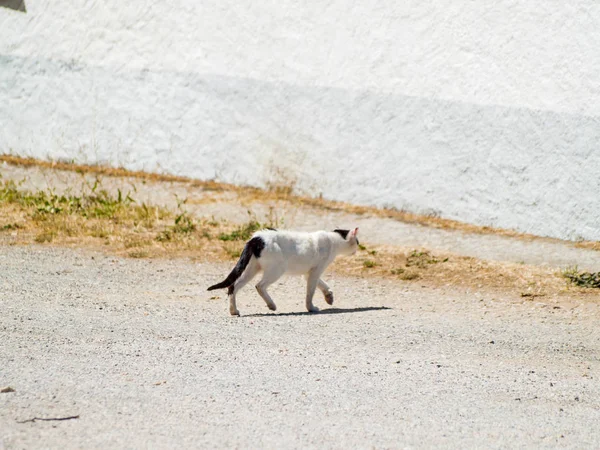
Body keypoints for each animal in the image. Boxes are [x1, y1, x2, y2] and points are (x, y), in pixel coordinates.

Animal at [209, 227, 358, 314]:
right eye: (357, 241)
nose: (357, 249)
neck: (332, 239)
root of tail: (256, 238)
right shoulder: (315, 271)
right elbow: (310, 292)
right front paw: (311, 308)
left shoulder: (309, 273)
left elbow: (323, 284)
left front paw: (329, 296)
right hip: (277, 269)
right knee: (259, 286)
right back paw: (271, 305)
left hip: (252, 268)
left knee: (233, 286)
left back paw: (233, 310)